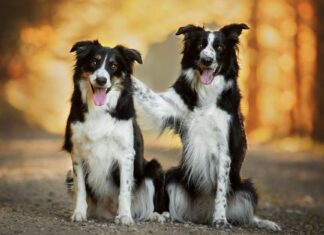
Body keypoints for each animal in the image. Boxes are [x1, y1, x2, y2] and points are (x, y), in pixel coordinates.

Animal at [62, 40, 166, 224]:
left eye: (114, 66)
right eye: (94, 62)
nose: (101, 80)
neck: (99, 109)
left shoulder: (125, 153)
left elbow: (124, 189)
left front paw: (125, 216)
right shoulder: (77, 151)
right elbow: (80, 188)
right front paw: (79, 213)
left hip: (154, 168)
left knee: (149, 206)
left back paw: (155, 215)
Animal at [132, 24, 280, 231]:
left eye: (219, 47)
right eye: (200, 45)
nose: (207, 60)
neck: (207, 92)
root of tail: (201, 214)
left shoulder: (224, 150)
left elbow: (221, 193)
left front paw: (220, 220)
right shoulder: (167, 107)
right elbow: (147, 93)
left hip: (247, 189)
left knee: (247, 215)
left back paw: (261, 222)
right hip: (174, 177)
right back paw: (166, 215)